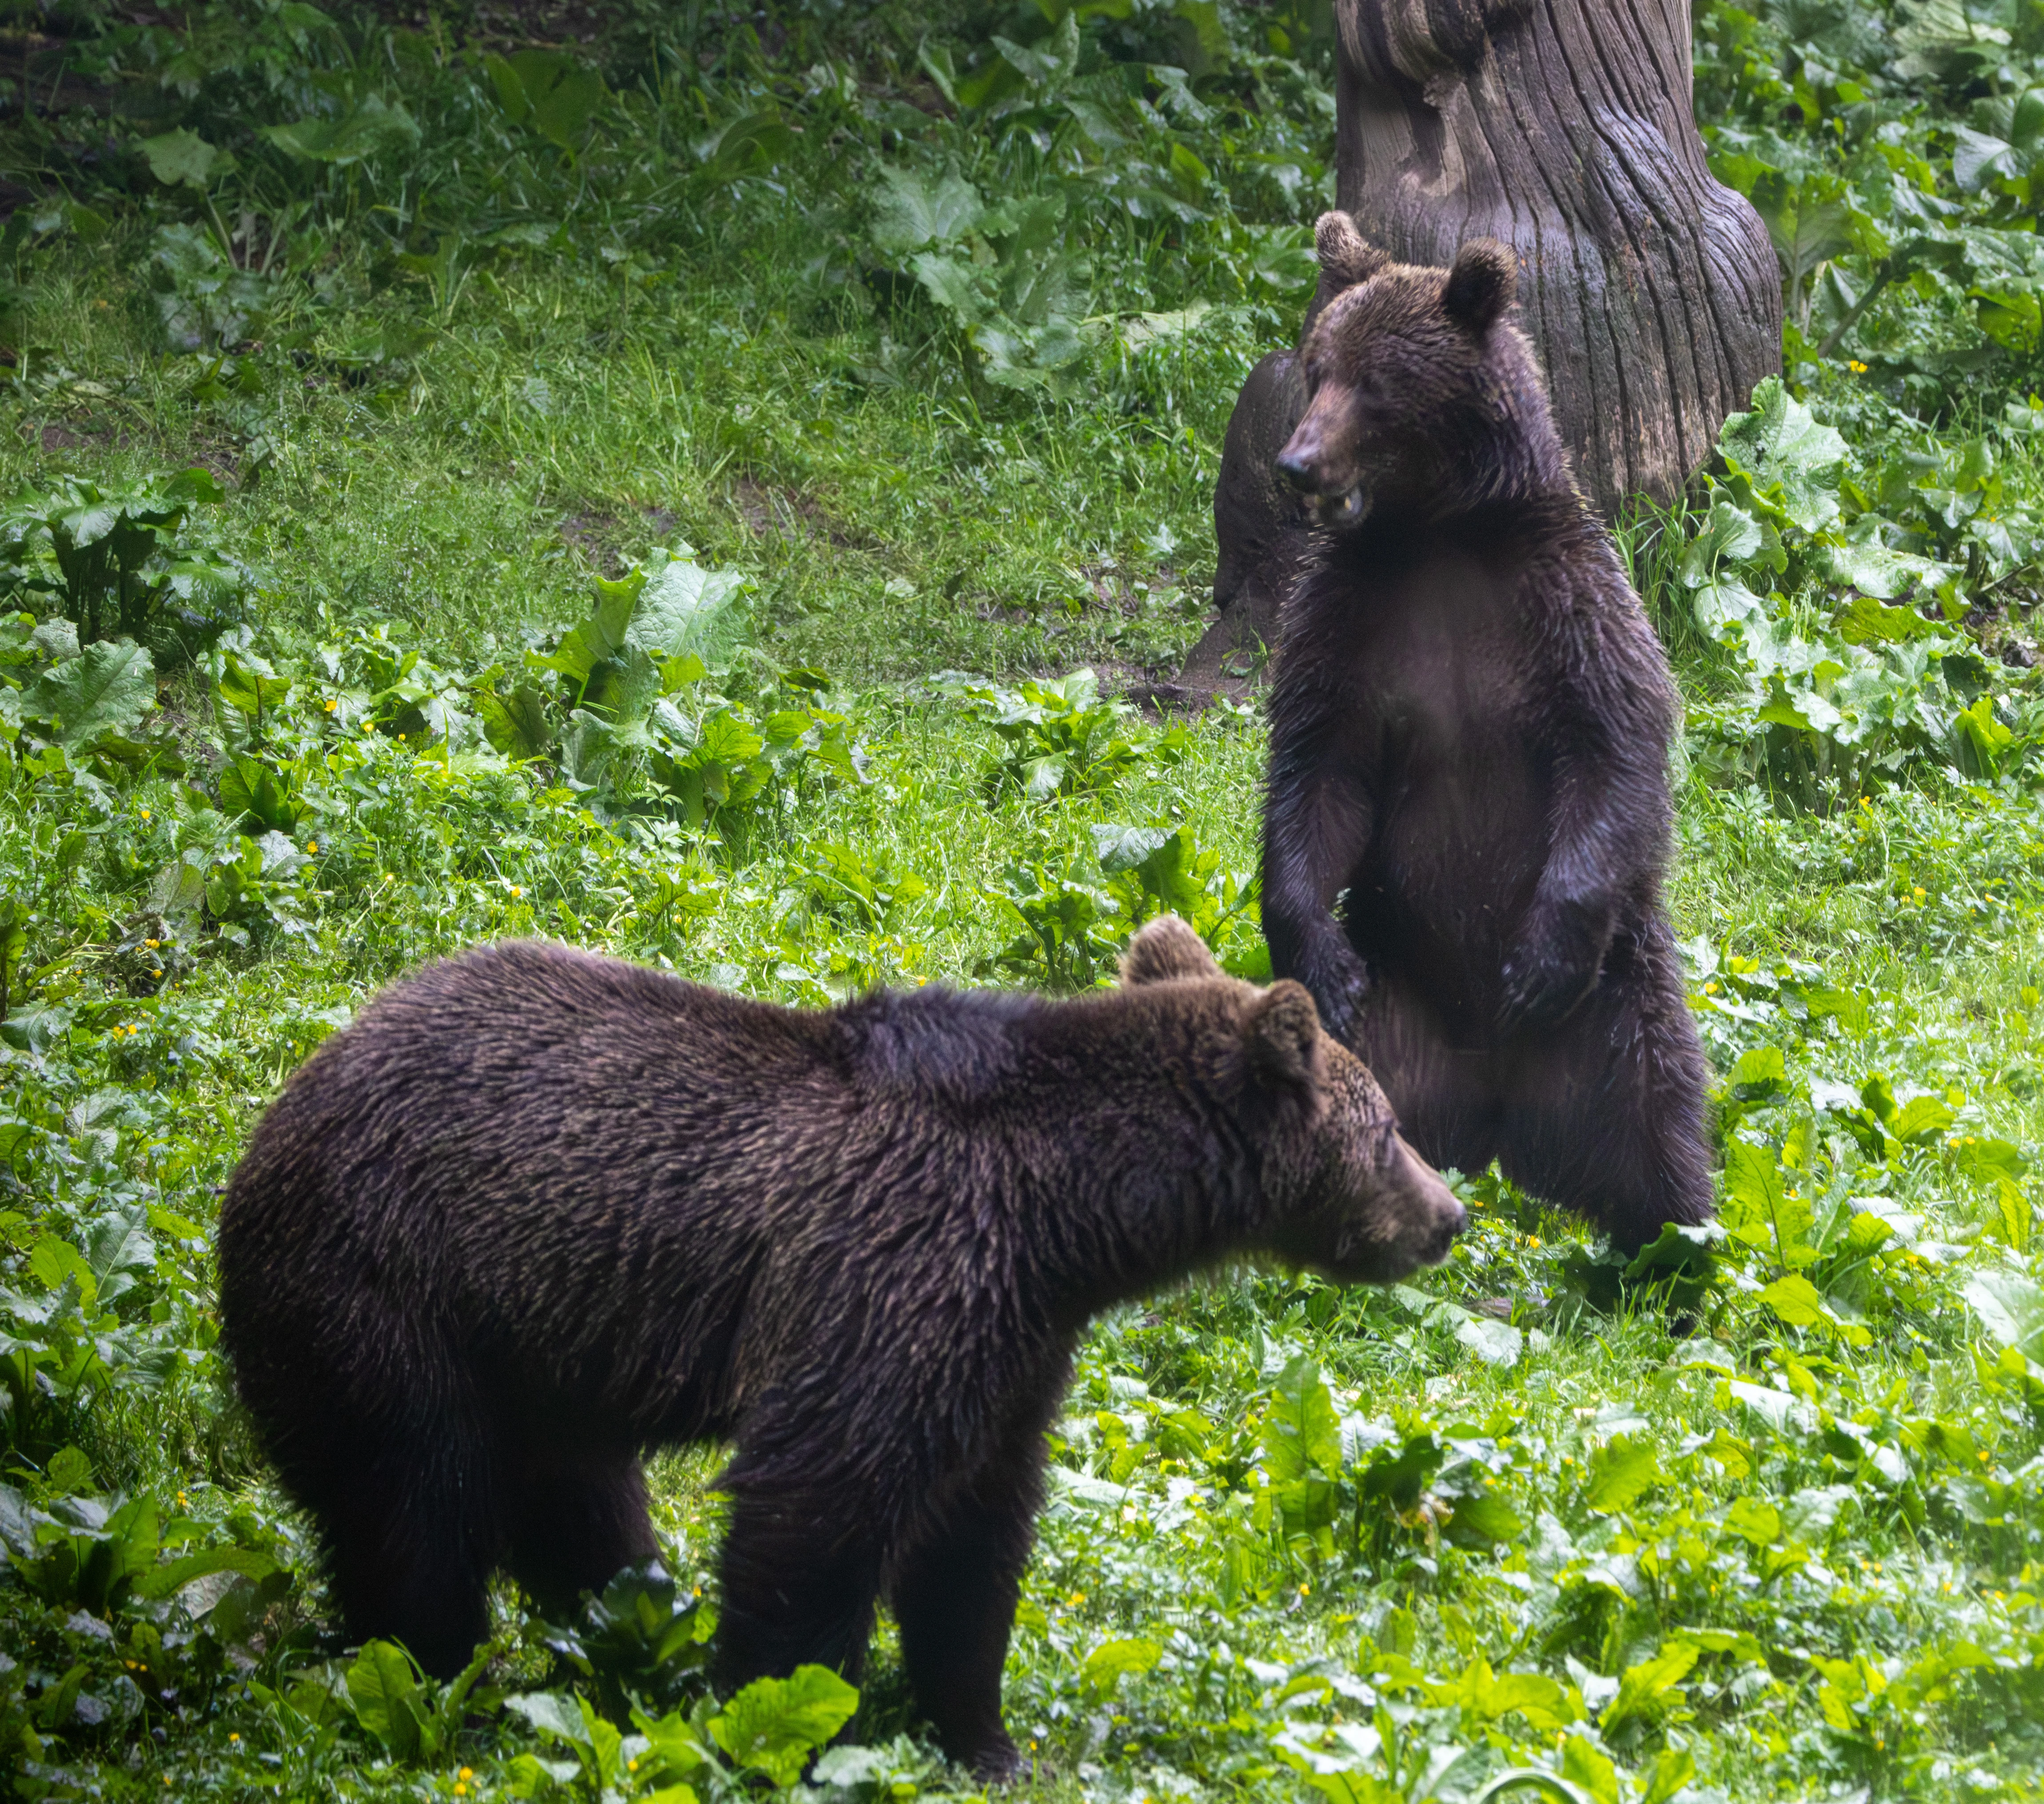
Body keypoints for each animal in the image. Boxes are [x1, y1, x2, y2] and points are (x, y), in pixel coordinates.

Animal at [216, 917, 1463, 1780]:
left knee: (584, 1516)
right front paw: (782, 1722)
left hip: (538, 1353)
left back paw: (630, 1643)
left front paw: (982, 1735)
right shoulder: (891, 1272)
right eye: (1390, 1130)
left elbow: (974, 1540)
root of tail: (279, 1111)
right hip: (392, 1298)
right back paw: (442, 1688)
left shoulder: (1012, 1343)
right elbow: (821, 1499)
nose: (1449, 1216)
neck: (1067, 1217)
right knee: (413, 1513)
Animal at [1258, 211, 1713, 1256]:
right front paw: (1318, 957)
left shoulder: (1564, 608)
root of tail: (1496, 1122)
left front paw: (1537, 964)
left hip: (1617, 1002)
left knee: (1656, 1112)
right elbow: (1316, 774)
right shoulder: (1349, 623)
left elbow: (1613, 749)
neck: (1436, 534)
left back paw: (1676, 1248)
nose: (1297, 465)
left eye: (1375, 384)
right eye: (1316, 367)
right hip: (1398, 1007)